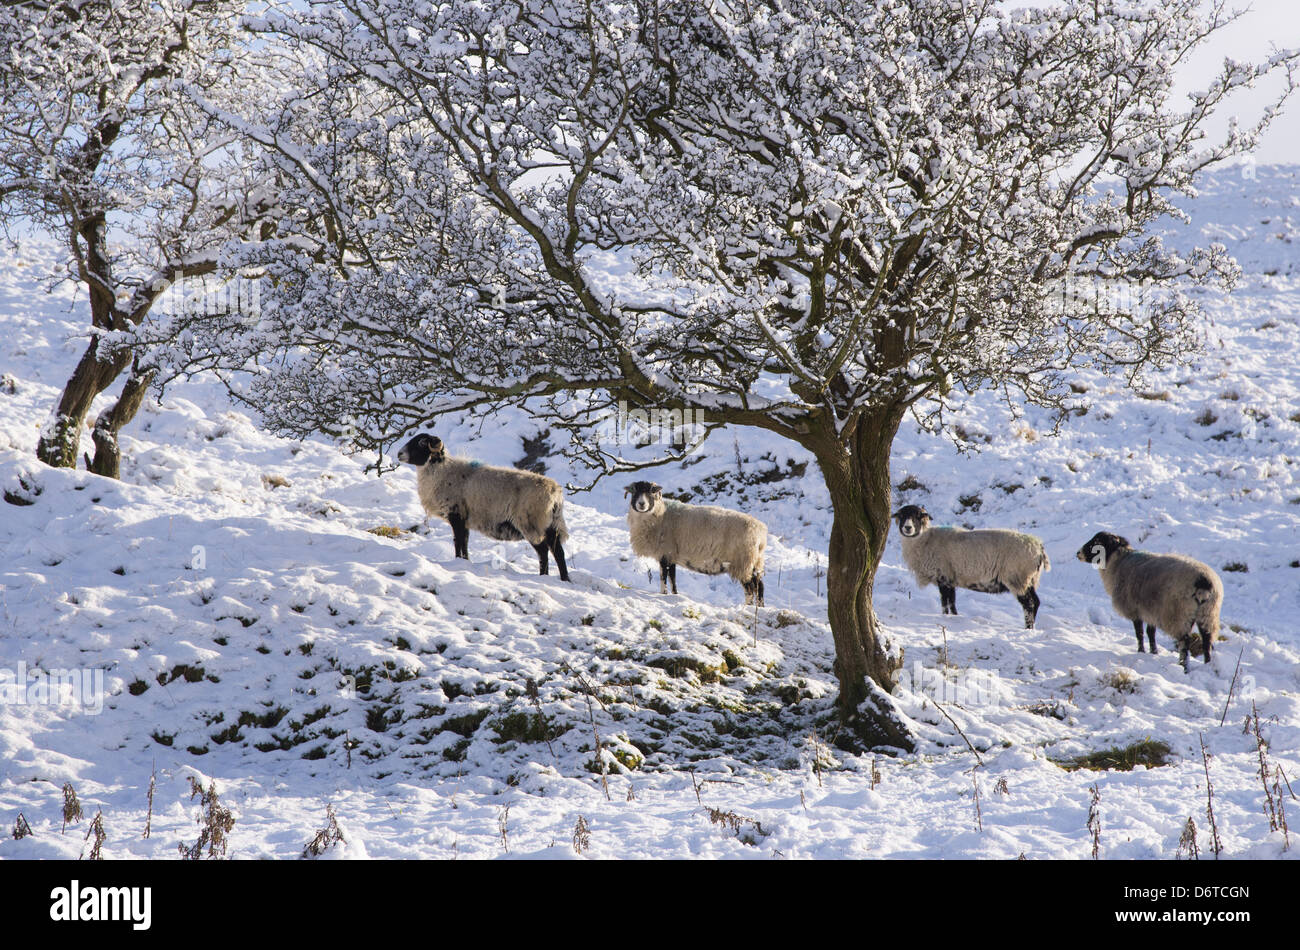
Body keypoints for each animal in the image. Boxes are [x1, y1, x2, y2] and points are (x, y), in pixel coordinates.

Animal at [395, 434, 569, 579]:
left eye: (422, 442)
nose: (399, 454)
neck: (442, 471)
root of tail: (555, 492)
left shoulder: (456, 514)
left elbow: (458, 541)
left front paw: (458, 561)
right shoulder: (464, 519)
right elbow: (464, 542)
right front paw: (465, 561)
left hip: (531, 525)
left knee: (543, 552)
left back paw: (544, 576)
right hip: (550, 526)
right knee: (558, 552)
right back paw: (563, 579)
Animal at [624, 478, 764, 605]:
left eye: (651, 491)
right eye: (634, 491)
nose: (641, 504)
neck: (660, 515)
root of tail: (760, 531)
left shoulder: (665, 554)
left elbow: (664, 579)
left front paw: (663, 595)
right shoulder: (671, 556)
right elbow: (672, 580)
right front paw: (674, 595)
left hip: (743, 562)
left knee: (750, 590)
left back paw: (747, 607)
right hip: (755, 562)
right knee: (760, 586)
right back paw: (760, 608)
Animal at [889, 504, 1050, 631]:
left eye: (917, 516)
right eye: (902, 515)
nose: (907, 528)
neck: (925, 539)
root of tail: (1038, 547)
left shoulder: (943, 577)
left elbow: (945, 603)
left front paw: (945, 617)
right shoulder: (950, 579)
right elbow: (952, 602)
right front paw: (954, 617)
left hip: (1017, 578)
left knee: (1029, 605)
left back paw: (1028, 628)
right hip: (1030, 580)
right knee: (1036, 602)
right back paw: (1031, 628)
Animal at [1076, 530, 1216, 670]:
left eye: (1098, 541)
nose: (1078, 553)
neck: (1117, 563)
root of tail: (1203, 580)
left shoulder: (1135, 609)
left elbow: (1140, 633)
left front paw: (1141, 651)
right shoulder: (1150, 610)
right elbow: (1151, 633)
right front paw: (1154, 652)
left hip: (1180, 615)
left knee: (1185, 641)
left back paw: (1183, 666)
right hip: (1207, 615)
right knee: (1206, 641)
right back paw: (1207, 664)